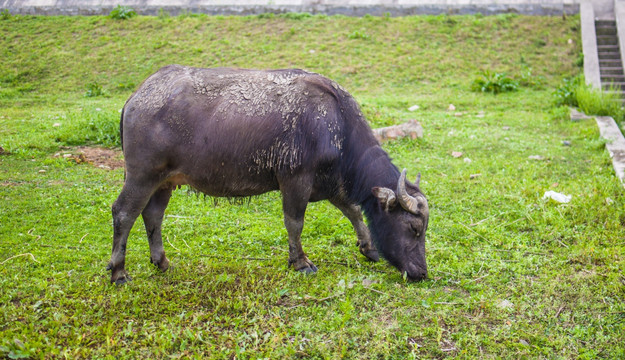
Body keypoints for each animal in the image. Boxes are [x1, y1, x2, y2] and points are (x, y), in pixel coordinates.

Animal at [108, 65, 428, 284]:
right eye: (414, 228)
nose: (421, 272)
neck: (335, 123)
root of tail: (138, 95)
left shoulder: (330, 183)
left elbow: (353, 211)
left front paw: (368, 247)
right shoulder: (295, 180)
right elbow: (295, 222)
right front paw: (300, 261)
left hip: (164, 182)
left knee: (153, 214)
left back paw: (161, 261)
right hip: (141, 175)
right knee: (123, 212)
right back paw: (119, 272)